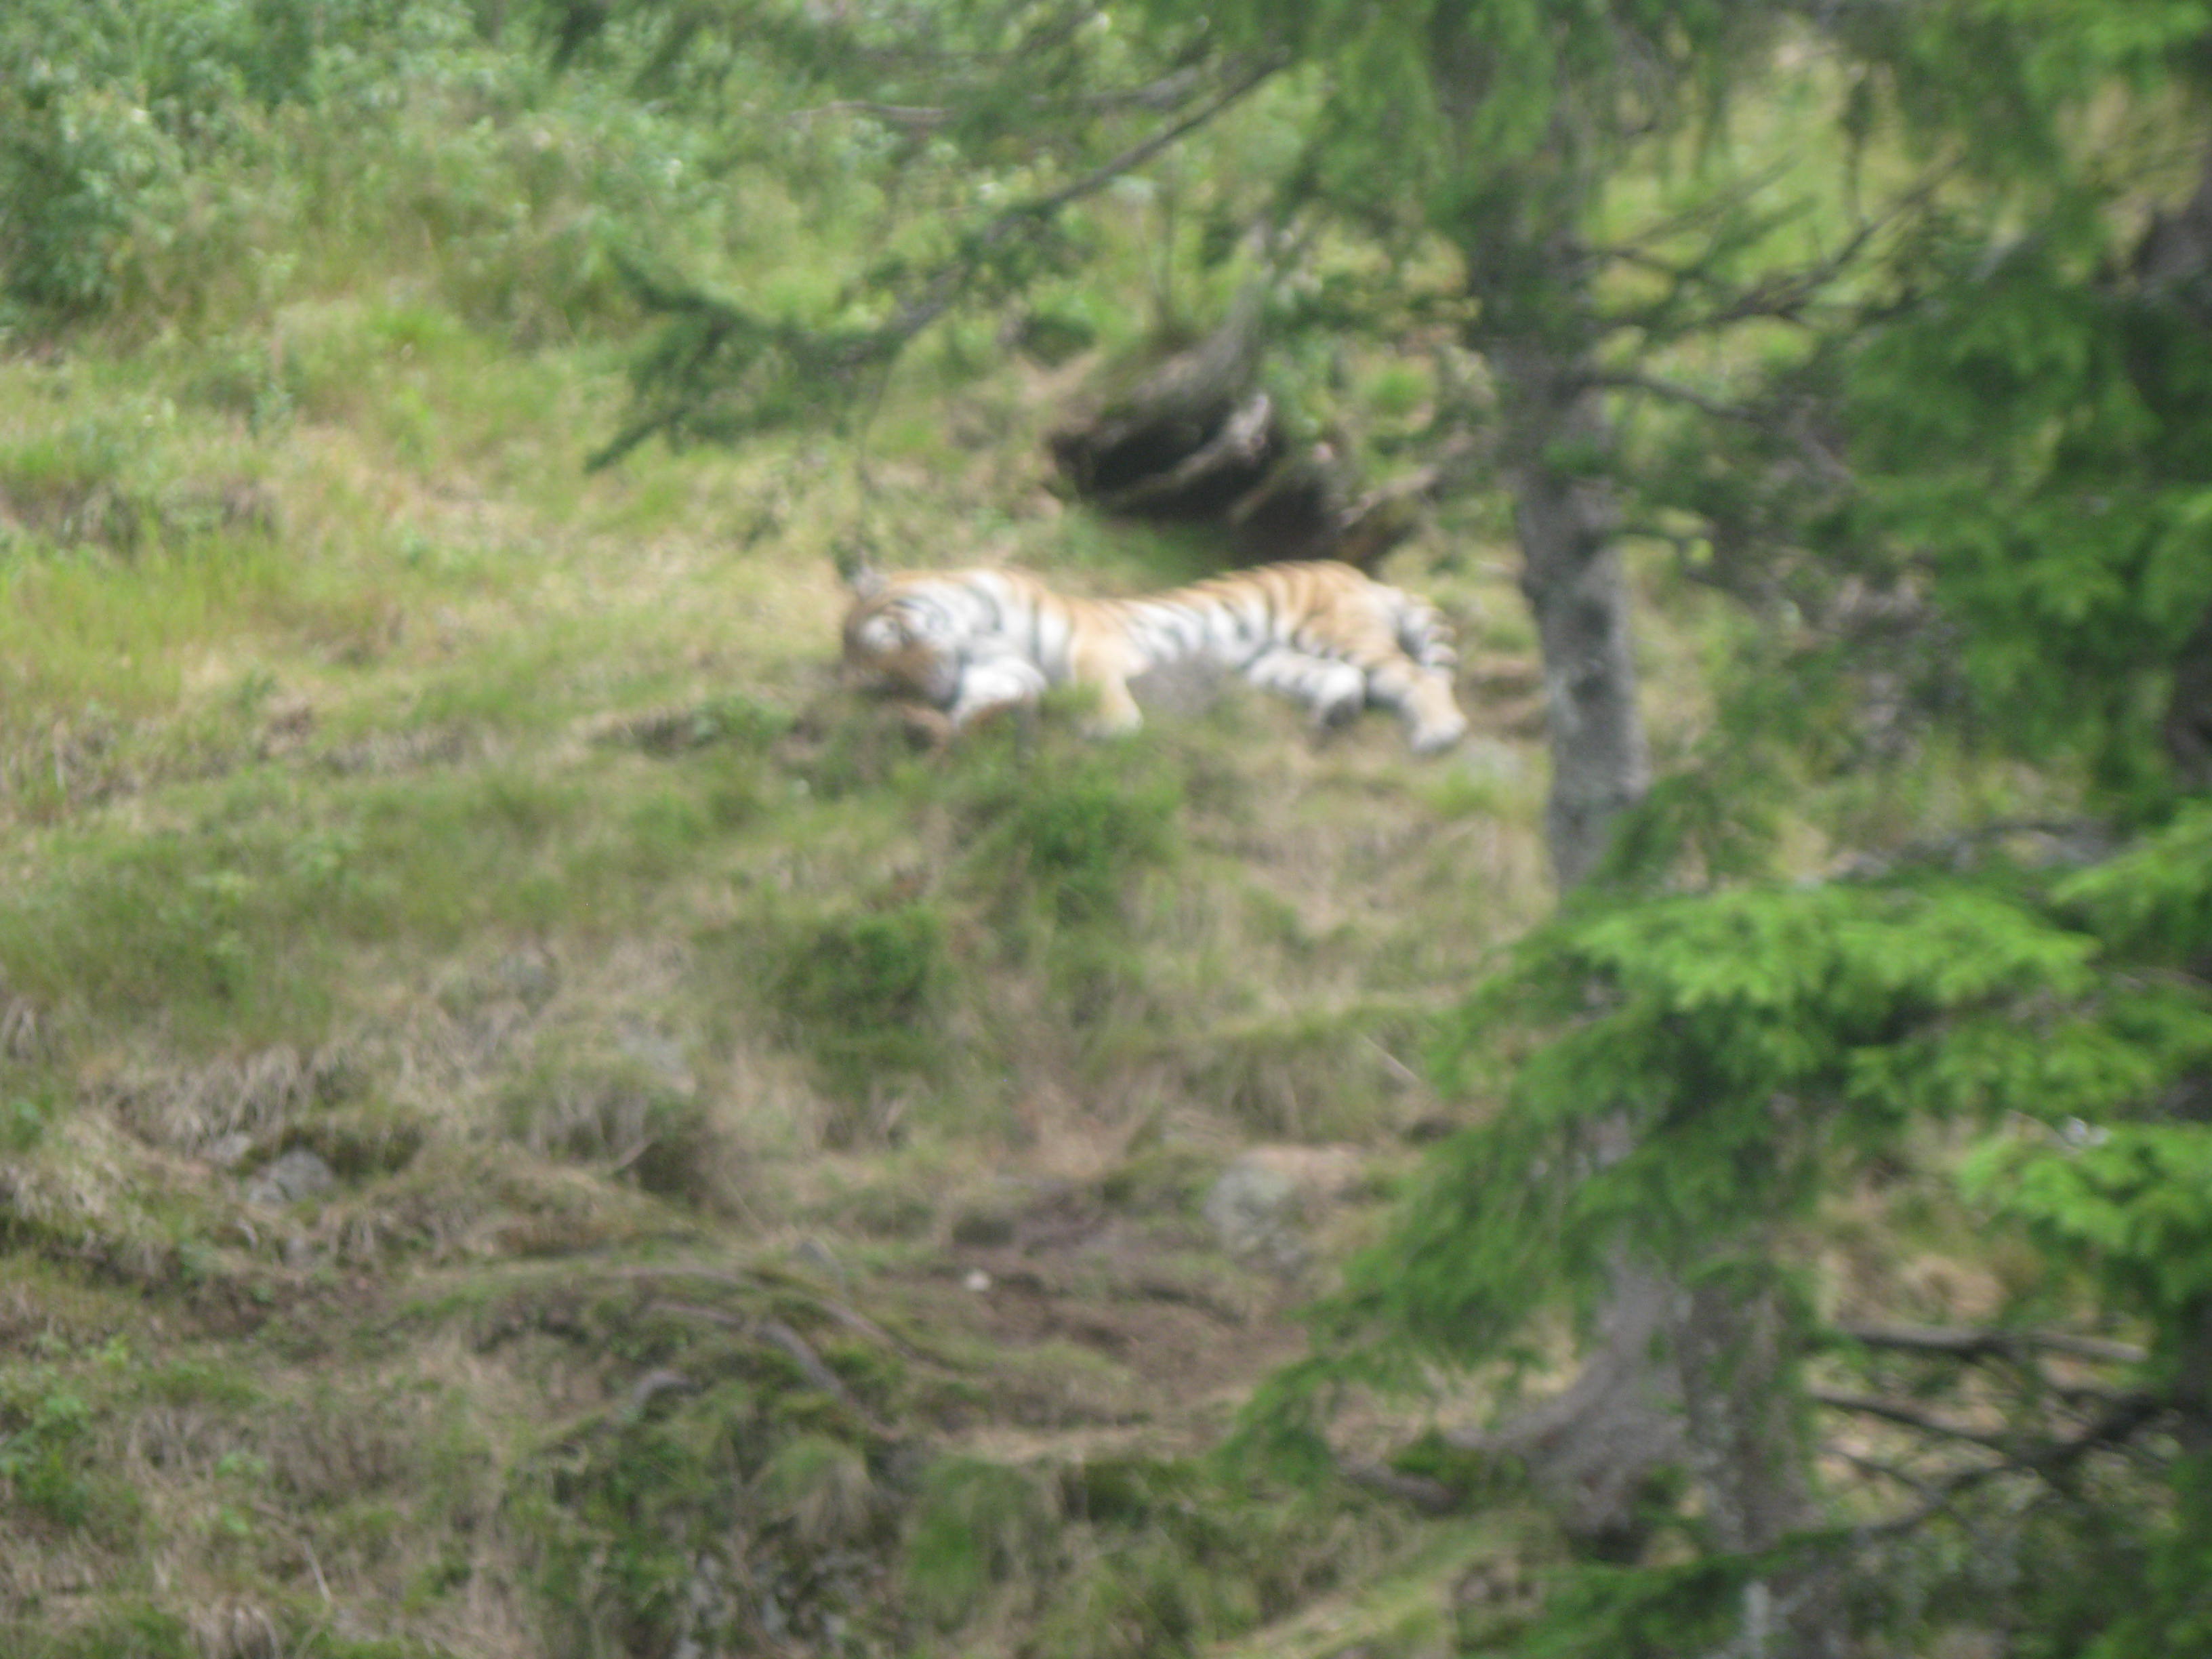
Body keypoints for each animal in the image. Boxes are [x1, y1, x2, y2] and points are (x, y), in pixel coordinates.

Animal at [840, 558, 1470, 755]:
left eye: (890, 641)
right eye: (885, 684)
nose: (930, 690)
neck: (972, 635)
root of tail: (1362, 574)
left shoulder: (1088, 641)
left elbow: (1096, 681)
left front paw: (1112, 727)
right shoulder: (1003, 669)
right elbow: (986, 699)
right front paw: (937, 725)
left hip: (1337, 632)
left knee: (1415, 678)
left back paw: (1439, 732)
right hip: (1271, 661)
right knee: (1345, 681)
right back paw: (1332, 715)